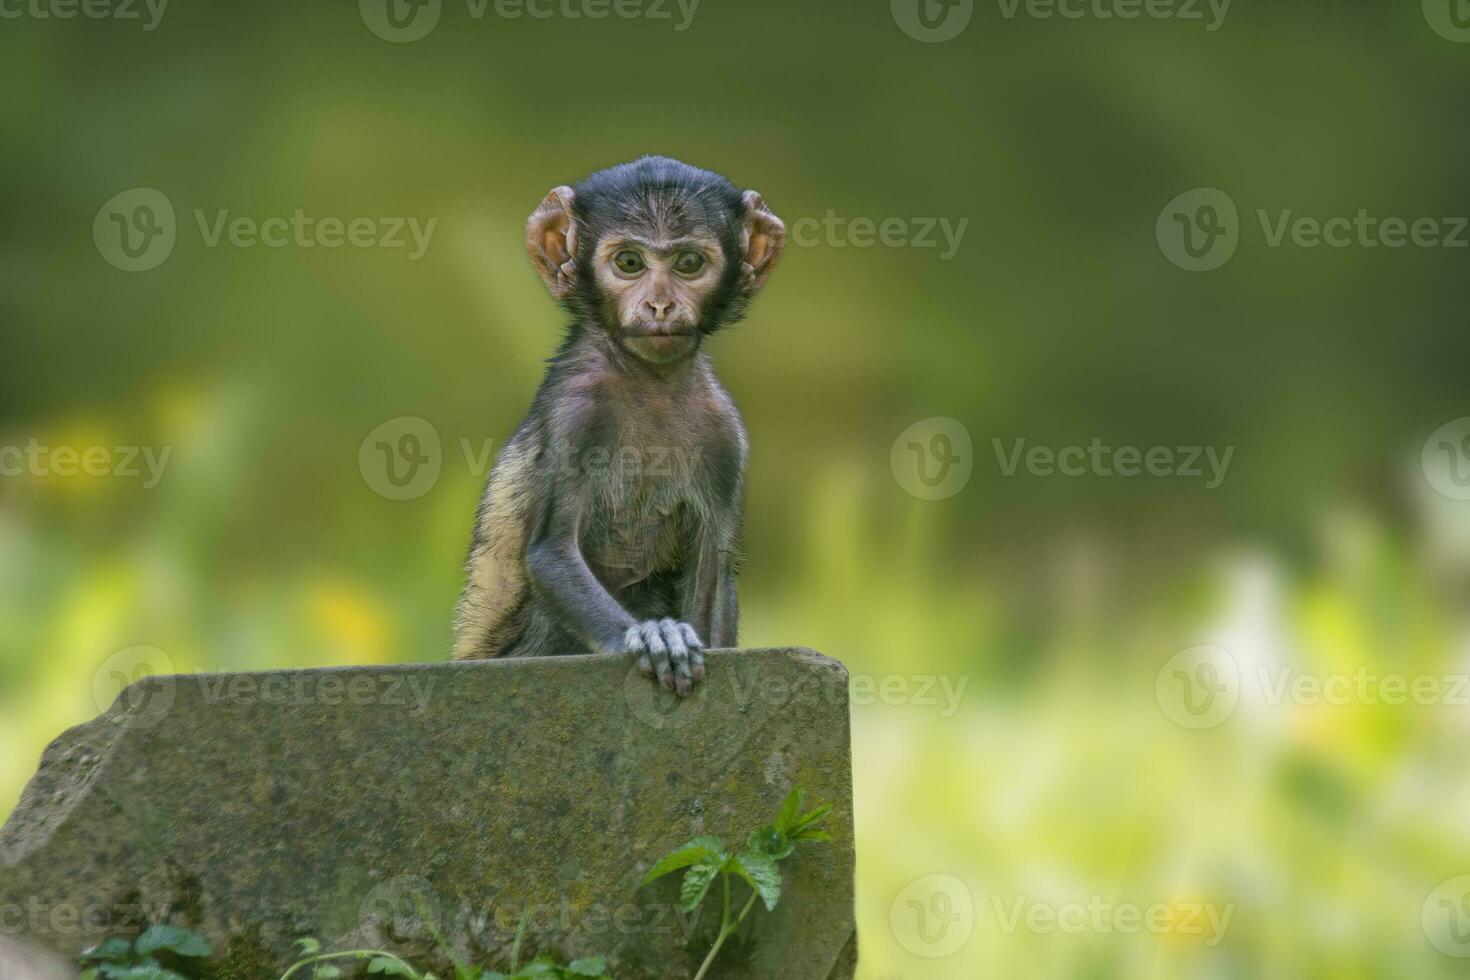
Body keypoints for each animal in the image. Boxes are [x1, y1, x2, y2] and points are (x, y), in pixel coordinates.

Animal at [449, 157, 787, 696]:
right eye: (629, 263)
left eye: (688, 263)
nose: (660, 306)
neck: (649, 382)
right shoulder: (576, 410)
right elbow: (551, 553)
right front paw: (652, 637)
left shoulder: (725, 433)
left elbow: (713, 571)